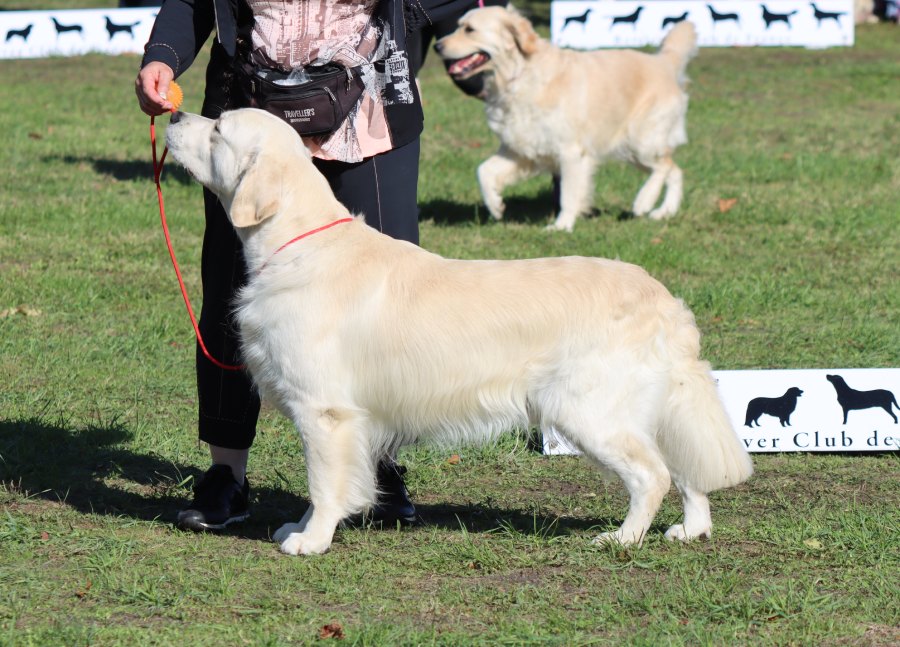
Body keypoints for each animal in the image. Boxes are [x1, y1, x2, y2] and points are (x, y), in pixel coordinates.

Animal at [165, 108, 753, 555]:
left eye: (217, 129)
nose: (172, 113)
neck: (297, 243)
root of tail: (664, 300)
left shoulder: (324, 410)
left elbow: (325, 484)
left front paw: (312, 540)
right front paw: (303, 527)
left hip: (589, 412)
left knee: (653, 475)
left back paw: (622, 539)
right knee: (685, 469)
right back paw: (691, 529)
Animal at [435, 7, 698, 231]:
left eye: (469, 29)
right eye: (458, 26)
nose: (437, 46)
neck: (518, 76)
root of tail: (663, 61)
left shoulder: (570, 151)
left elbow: (569, 194)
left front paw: (561, 226)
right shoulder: (520, 149)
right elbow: (484, 171)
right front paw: (496, 205)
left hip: (639, 140)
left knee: (665, 167)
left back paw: (644, 202)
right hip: (632, 149)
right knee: (676, 171)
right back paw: (664, 211)